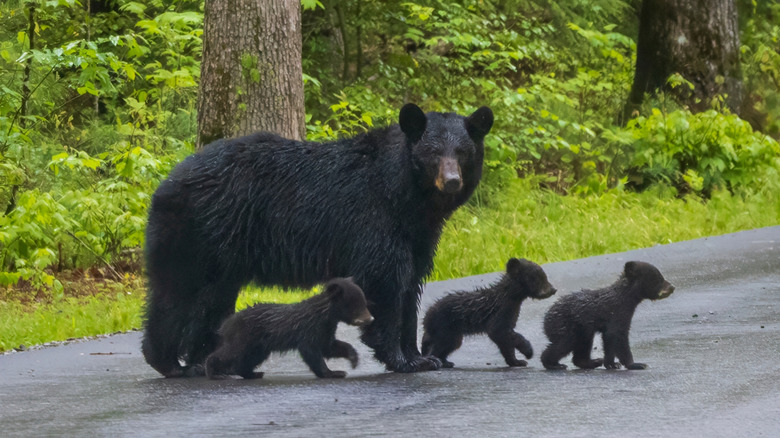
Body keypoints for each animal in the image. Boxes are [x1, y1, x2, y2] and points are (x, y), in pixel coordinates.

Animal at [205, 277, 373, 379]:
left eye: (364, 303)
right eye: (356, 305)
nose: (370, 319)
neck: (324, 315)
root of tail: (226, 324)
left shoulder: (326, 329)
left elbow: (329, 347)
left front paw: (353, 359)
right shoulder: (309, 328)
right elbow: (311, 351)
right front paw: (332, 372)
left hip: (259, 345)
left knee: (249, 358)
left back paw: (253, 373)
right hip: (244, 337)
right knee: (230, 352)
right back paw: (213, 371)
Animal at [421, 258, 557, 368]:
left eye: (544, 276)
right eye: (538, 278)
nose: (553, 290)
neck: (511, 297)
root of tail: (426, 318)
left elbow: (505, 340)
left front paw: (516, 361)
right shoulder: (501, 312)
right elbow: (498, 331)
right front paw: (528, 351)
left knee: (451, 344)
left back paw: (446, 361)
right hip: (445, 327)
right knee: (441, 344)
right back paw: (436, 360)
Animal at [541, 261, 675, 370]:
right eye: (658, 278)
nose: (672, 287)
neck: (625, 298)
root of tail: (545, 319)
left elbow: (609, 339)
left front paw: (612, 364)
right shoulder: (618, 313)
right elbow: (618, 335)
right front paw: (636, 364)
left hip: (582, 329)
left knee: (583, 344)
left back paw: (593, 362)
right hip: (564, 325)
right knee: (564, 343)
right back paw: (553, 364)